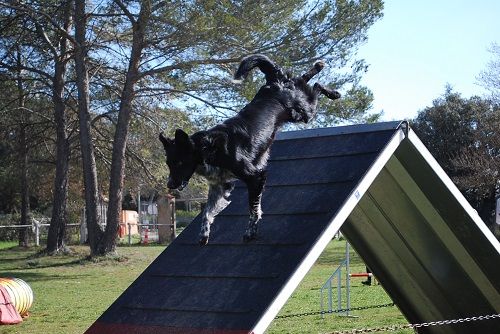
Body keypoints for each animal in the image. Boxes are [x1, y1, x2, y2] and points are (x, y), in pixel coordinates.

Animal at [159, 53, 340, 244]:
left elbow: (253, 208)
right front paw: (204, 234)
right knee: (301, 79)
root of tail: (274, 83)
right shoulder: (220, 186)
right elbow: (207, 212)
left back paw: (332, 89)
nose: (170, 184)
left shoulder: (256, 176)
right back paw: (318, 69)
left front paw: (250, 231)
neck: (208, 148)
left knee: (315, 86)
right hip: (300, 109)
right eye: (168, 164)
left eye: (179, 162)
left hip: (304, 113)